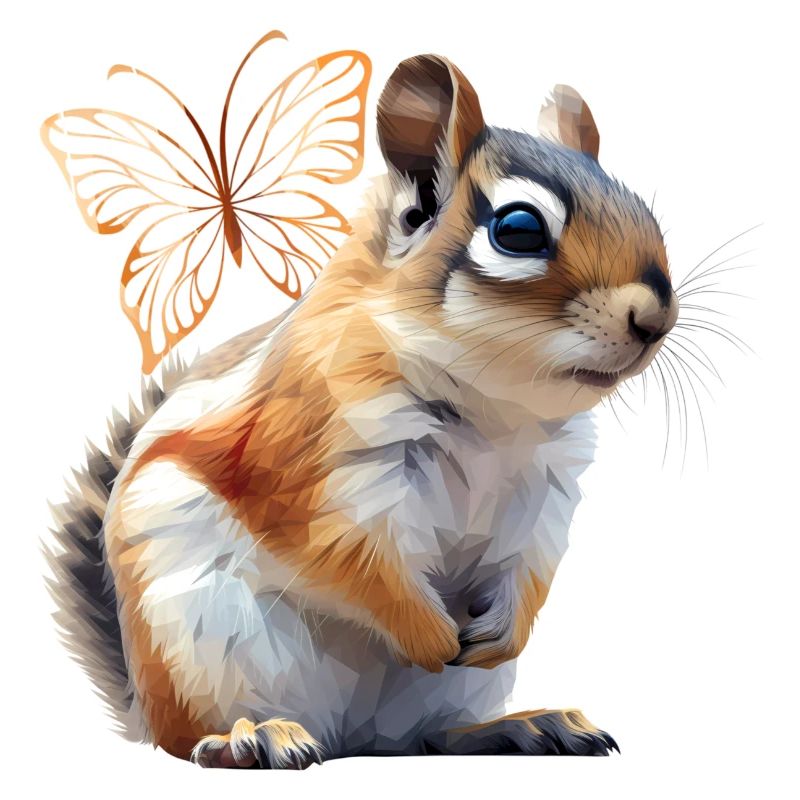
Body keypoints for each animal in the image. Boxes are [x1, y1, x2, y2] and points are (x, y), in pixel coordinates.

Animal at [47, 54, 679, 768]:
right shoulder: (316, 456)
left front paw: (503, 633)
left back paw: (522, 727)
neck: (497, 412)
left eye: (644, 211)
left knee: (428, 738)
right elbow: (354, 561)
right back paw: (250, 737)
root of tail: (351, 739)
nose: (656, 317)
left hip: (442, 700)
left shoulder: (545, 488)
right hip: (201, 646)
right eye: (518, 229)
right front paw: (430, 634)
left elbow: (532, 565)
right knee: (193, 740)